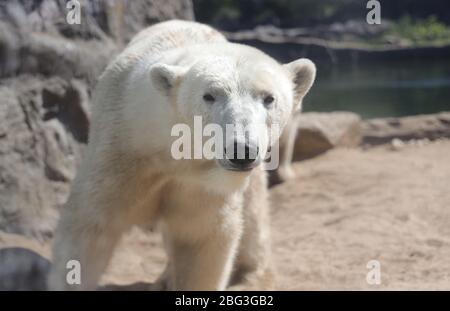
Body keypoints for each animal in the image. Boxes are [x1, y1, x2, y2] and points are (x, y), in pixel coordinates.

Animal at [48, 20, 316, 292]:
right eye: (209, 95)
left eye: (269, 98)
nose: (241, 150)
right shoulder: (118, 153)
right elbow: (88, 230)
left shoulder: (203, 185)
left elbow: (201, 238)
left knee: (253, 215)